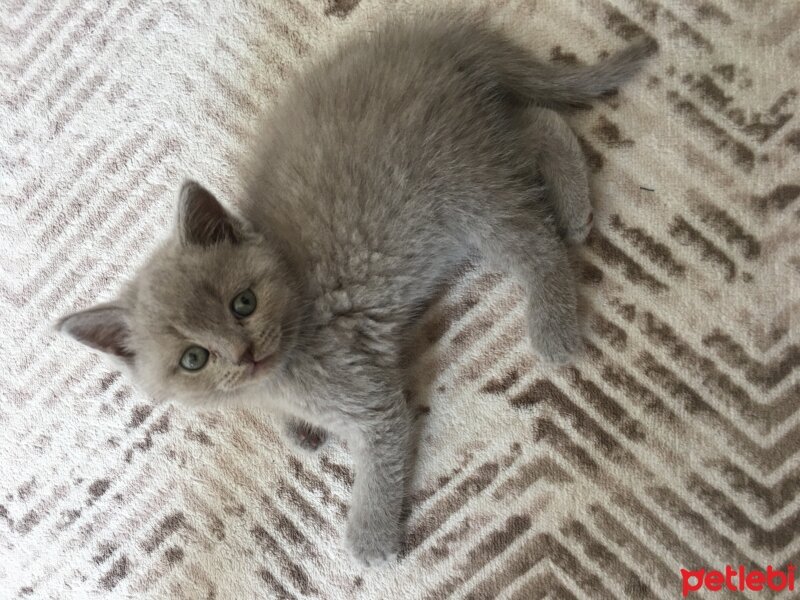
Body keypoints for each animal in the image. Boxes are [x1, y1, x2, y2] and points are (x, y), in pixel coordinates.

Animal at [57, 12, 656, 568]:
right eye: (193, 358)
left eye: (243, 303)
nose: (245, 354)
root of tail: (436, 41)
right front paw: (296, 431)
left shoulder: (364, 393)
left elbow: (381, 458)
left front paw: (368, 540)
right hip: (479, 151)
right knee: (536, 120)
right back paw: (572, 204)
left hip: (462, 190)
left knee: (536, 240)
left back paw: (555, 306)